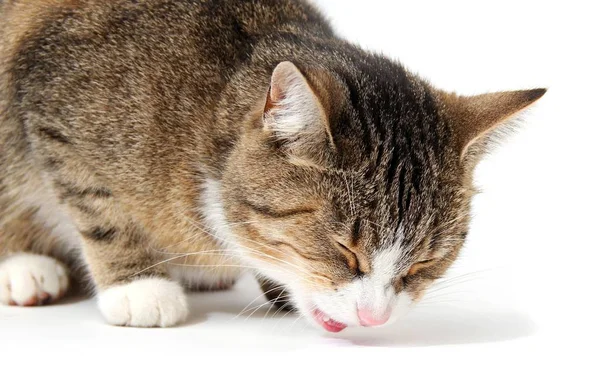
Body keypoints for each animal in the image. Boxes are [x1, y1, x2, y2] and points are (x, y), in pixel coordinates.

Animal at [0, 0, 544, 330]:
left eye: (425, 263)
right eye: (345, 250)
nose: (374, 318)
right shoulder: (55, 105)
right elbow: (101, 209)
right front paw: (139, 286)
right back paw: (24, 265)